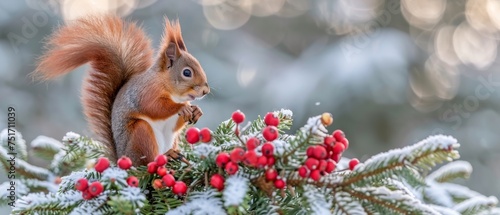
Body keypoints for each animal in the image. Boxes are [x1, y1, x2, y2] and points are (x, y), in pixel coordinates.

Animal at [34, 15, 211, 165]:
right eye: (187, 72)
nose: (205, 91)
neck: (171, 91)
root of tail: (121, 157)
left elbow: (176, 124)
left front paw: (197, 111)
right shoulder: (145, 92)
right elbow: (154, 107)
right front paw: (182, 108)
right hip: (140, 134)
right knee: (147, 161)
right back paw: (166, 156)